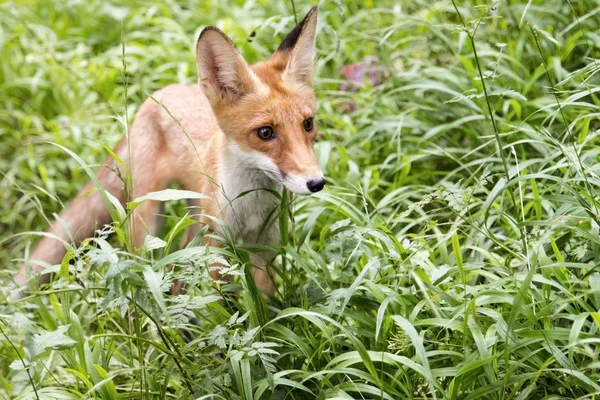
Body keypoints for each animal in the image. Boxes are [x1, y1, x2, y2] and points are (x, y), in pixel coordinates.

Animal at [12, 6, 324, 298]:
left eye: (308, 124)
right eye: (265, 133)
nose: (317, 183)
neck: (251, 209)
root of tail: (155, 96)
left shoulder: (268, 250)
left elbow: (263, 311)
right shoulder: (217, 251)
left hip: (193, 218)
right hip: (148, 223)